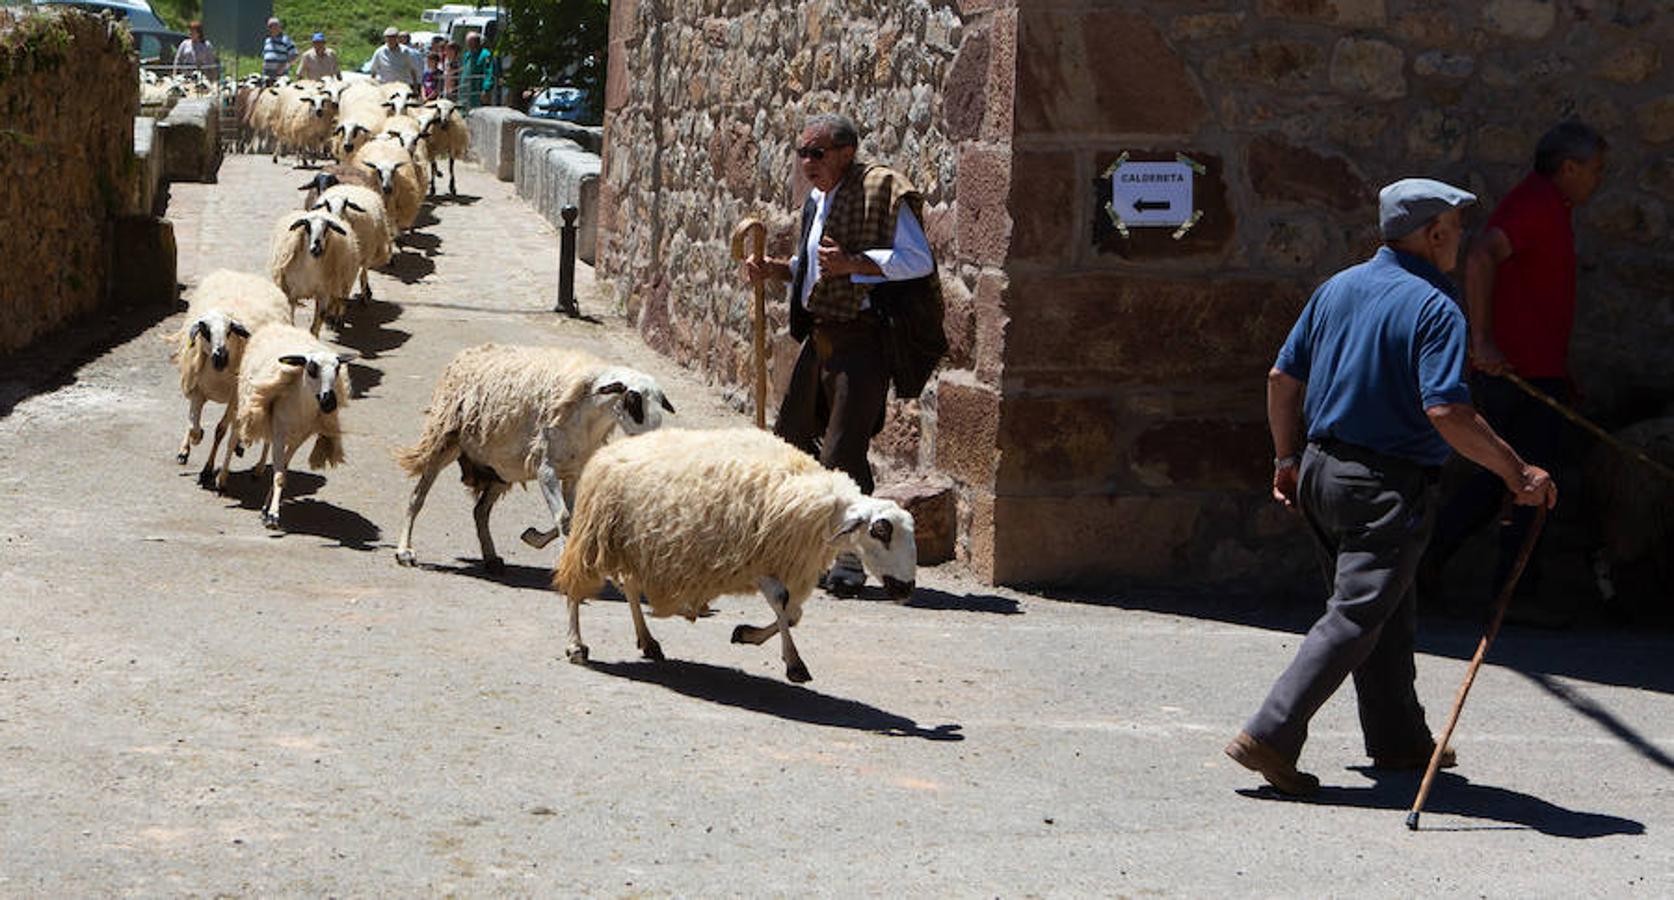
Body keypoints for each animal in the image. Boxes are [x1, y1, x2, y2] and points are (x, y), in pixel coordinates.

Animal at [166, 269, 291, 488]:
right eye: (205, 331)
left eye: (230, 330)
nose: (221, 356)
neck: (218, 375)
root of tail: (245, 275)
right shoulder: (198, 390)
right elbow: (193, 426)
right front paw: (195, 440)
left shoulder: (234, 397)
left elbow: (220, 430)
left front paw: (207, 471)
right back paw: (185, 450)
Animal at [231, 326, 354, 528]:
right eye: (311, 368)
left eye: (337, 369)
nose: (329, 403)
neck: (301, 408)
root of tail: (277, 326)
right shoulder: (280, 434)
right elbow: (279, 474)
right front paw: (273, 516)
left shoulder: (298, 439)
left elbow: (282, 471)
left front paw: (266, 510)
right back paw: (240, 448)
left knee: (267, 441)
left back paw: (258, 470)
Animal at [266, 206, 361, 336]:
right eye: (307, 226)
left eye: (326, 228)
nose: (317, 248)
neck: (310, 267)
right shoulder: (290, 293)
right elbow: (291, 320)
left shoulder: (324, 293)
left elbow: (315, 326)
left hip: (344, 283)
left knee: (341, 301)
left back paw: (337, 321)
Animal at [391, 342, 672, 575]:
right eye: (633, 399)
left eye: (660, 402)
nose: (652, 443)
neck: (589, 415)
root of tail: (470, 352)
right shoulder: (545, 469)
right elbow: (564, 518)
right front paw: (560, 560)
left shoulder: (572, 472)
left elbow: (571, 517)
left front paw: (533, 537)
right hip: (445, 442)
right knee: (417, 497)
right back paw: (405, 552)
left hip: (500, 470)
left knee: (480, 511)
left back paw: (491, 558)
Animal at [549, 424, 917, 679]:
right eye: (880, 531)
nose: (906, 589)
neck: (822, 511)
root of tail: (612, 448)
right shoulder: (758, 561)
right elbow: (783, 603)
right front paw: (795, 664)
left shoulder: (776, 563)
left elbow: (792, 614)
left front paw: (747, 635)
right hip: (596, 534)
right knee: (575, 587)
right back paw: (576, 644)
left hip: (636, 546)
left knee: (629, 586)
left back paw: (648, 641)